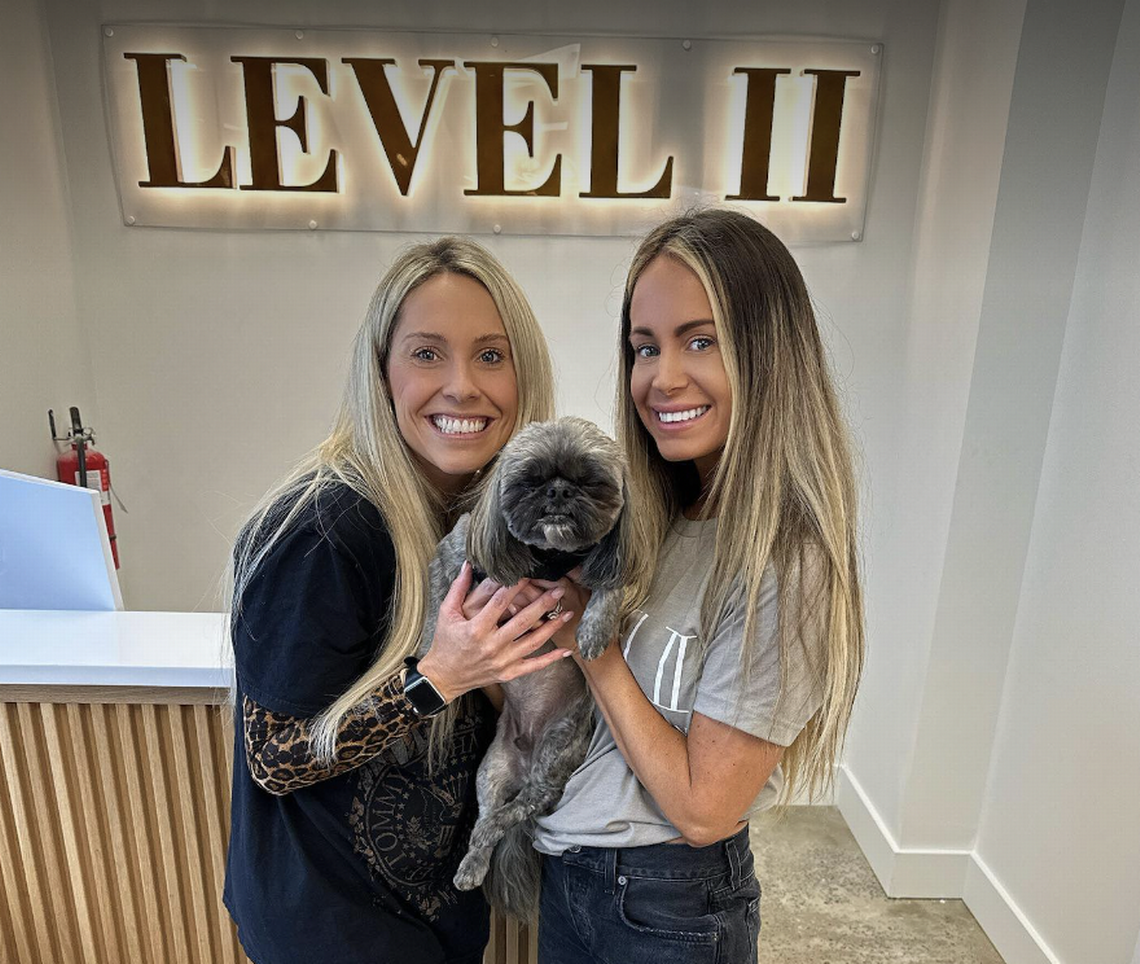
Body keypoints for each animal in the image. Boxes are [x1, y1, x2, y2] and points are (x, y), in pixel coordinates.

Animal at [421, 414, 633, 920]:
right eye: (531, 479)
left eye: (590, 481)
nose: (558, 491)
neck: (550, 558)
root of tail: (522, 760)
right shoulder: (458, 549)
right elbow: (441, 595)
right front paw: (431, 644)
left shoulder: (605, 564)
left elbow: (611, 586)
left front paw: (593, 630)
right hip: (490, 772)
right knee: (488, 817)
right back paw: (472, 864)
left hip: (552, 765)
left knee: (505, 817)